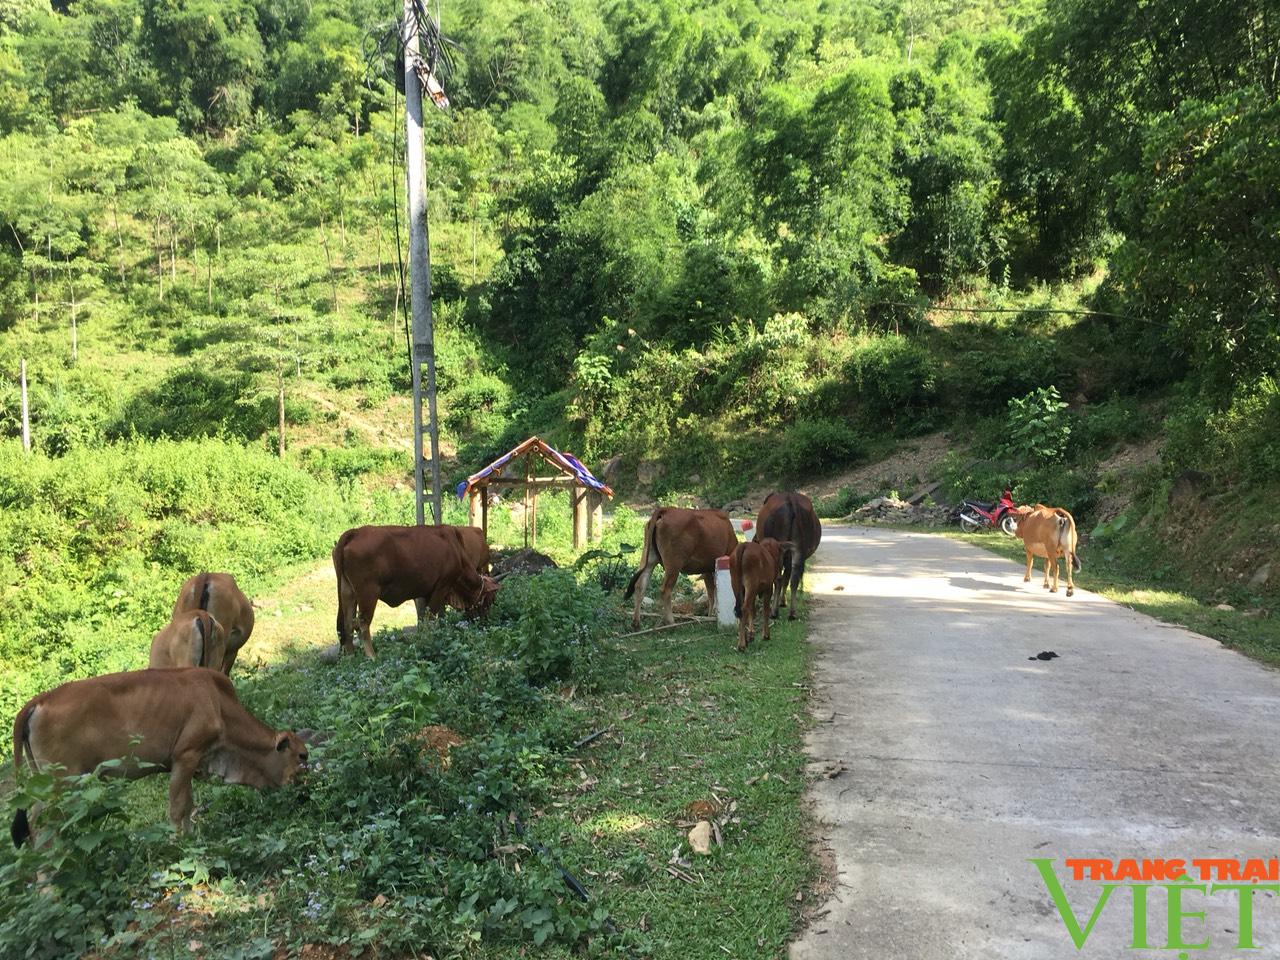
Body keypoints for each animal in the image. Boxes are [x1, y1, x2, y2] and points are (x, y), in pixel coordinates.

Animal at [11, 670, 308, 839]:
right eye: (301, 756)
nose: (304, 792)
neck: (219, 704)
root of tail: (39, 701)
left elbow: (188, 804)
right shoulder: (185, 757)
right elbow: (178, 808)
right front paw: (178, 844)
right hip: (62, 785)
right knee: (41, 826)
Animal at [330, 527, 499, 660]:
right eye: (489, 600)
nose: (484, 623)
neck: (456, 549)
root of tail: (355, 532)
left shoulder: (426, 593)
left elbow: (424, 619)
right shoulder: (441, 587)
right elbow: (430, 617)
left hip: (348, 592)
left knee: (347, 623)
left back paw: (351, 656)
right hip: (368, 594)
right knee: (362, 623)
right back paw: (372, 656)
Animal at [622, 504, 737, 632]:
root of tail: (666, 510)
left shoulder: (707, 568)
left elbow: (712, 591)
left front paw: (710, 614)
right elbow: (714, 591)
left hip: (649, 557)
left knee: (640, 585)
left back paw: (636, 622)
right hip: (673, 565)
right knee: (665, 590)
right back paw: (671, 622)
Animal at [752, 491, 824, 619]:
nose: (755, 539)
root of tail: (791, 500)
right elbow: (788, 576)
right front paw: (783, 601)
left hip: (779, 549)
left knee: (778, 578)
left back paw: (774, 612)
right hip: (797, 549)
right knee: (794, 578)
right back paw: (792, 613)